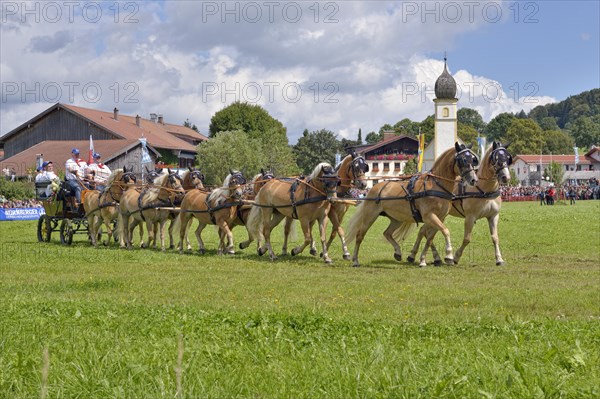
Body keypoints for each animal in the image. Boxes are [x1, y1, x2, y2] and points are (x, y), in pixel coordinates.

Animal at [342, 142, 478, 268]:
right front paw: (449, 255)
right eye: (463, 160)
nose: (474, 180)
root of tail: (374, 188)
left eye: (473, 159)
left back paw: (398, 252)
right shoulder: (429, 216)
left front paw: (423, 259)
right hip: (370, 216)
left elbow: (430, 238)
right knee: (360, 235)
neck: (436, 185)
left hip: (396, 219)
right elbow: (445, 231)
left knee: (387, 233)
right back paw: (355, 260)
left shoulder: (440, 217)